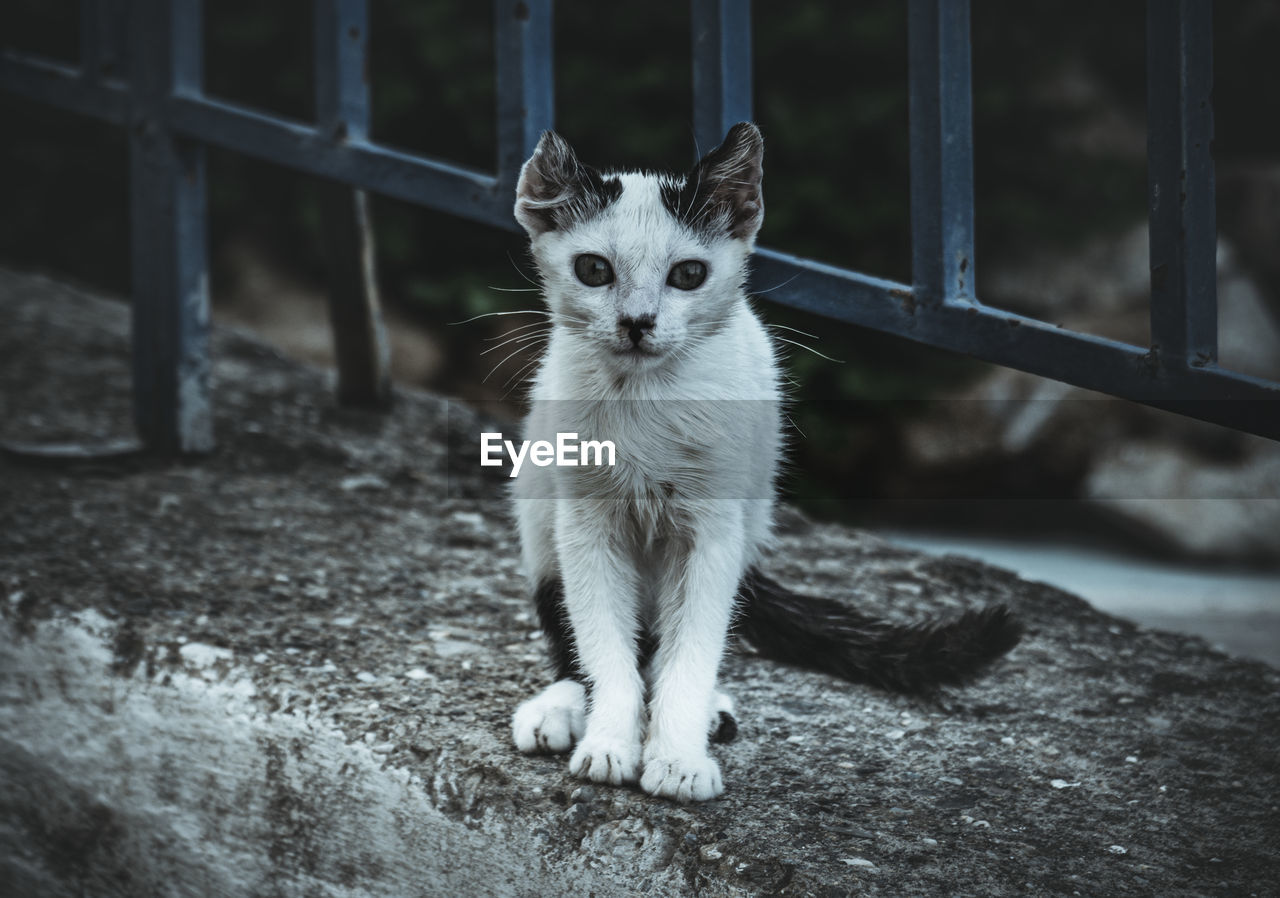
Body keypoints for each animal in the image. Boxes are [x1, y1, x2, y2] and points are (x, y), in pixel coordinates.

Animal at [504, 121, 1013, 803]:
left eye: (688, 275)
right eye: (593, 269)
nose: (637, 322)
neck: (644, 399)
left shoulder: (714, 531)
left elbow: (693, 646)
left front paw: (677, 755)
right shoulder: (585, 523)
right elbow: (604, 644)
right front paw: (612, 738)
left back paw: (704, 710)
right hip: (539, 506)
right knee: (575, 627)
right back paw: (562, 705)